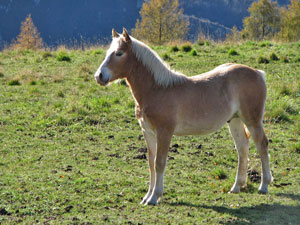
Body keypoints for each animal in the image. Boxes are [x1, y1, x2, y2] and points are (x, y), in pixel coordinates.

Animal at [95, 28, 274, 206]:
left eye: (119, 53)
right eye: (108, 52)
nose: (99, 76)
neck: (157, 89)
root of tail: (258, 73)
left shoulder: (164, 132)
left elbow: (159, 163)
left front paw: (154, 197)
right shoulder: (148, 132)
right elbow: (151, 163)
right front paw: (146, 197)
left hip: (252, 120)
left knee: (262, 144)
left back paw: (264, 186)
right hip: (235, 120)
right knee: (242, 147)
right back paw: (236, 186)